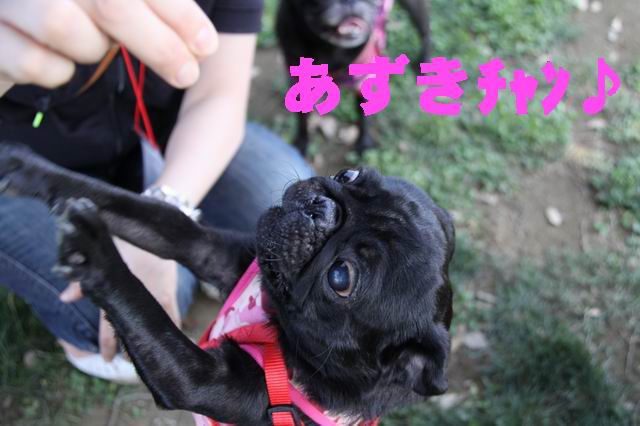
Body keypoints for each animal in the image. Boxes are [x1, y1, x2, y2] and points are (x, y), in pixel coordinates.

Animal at [0, 143, 454, 425]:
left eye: (341, 278)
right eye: (348, 174)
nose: (320, 207)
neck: (274, 325)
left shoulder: (194, 377)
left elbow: (142, 306)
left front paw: (95, 253)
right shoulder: (209, 250)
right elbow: (139, 208)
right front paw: (29, 169)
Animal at [277, 0, 431, 155]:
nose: (348, 2)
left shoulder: (363, 80)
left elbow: (363, 115)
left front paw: (363, 143)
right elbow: (302, 117)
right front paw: (301, 143)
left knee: (425, 32)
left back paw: (424, 61)